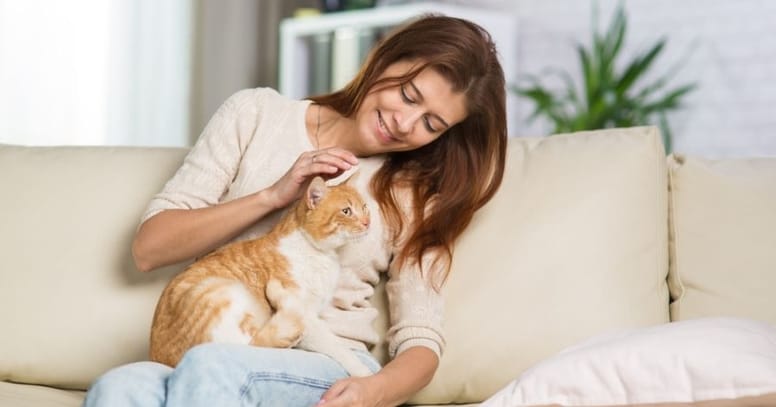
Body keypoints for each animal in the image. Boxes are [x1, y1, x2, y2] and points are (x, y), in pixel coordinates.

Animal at [150, 175, 374, 376]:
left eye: (364, 207)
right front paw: (362, 372)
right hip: (222, 292)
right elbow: (336, 346)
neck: (319, 254)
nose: (367, 222)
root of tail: (163, 361)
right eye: (346, 211)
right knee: (255, 342)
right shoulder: (310, 318)